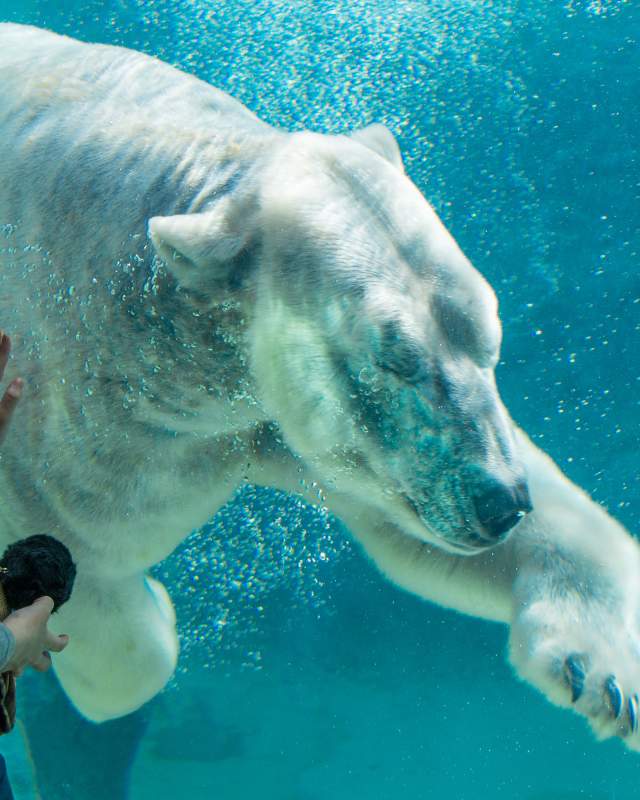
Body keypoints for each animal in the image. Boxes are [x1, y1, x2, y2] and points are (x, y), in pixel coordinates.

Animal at [1, 23, 640, 752]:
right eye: (396, 359)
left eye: (491, 337)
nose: (501, 502)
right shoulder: (83, 422)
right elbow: (96, 576)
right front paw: (153, 613)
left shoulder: (277, 419)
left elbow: (419, 532)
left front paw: (602, 675)